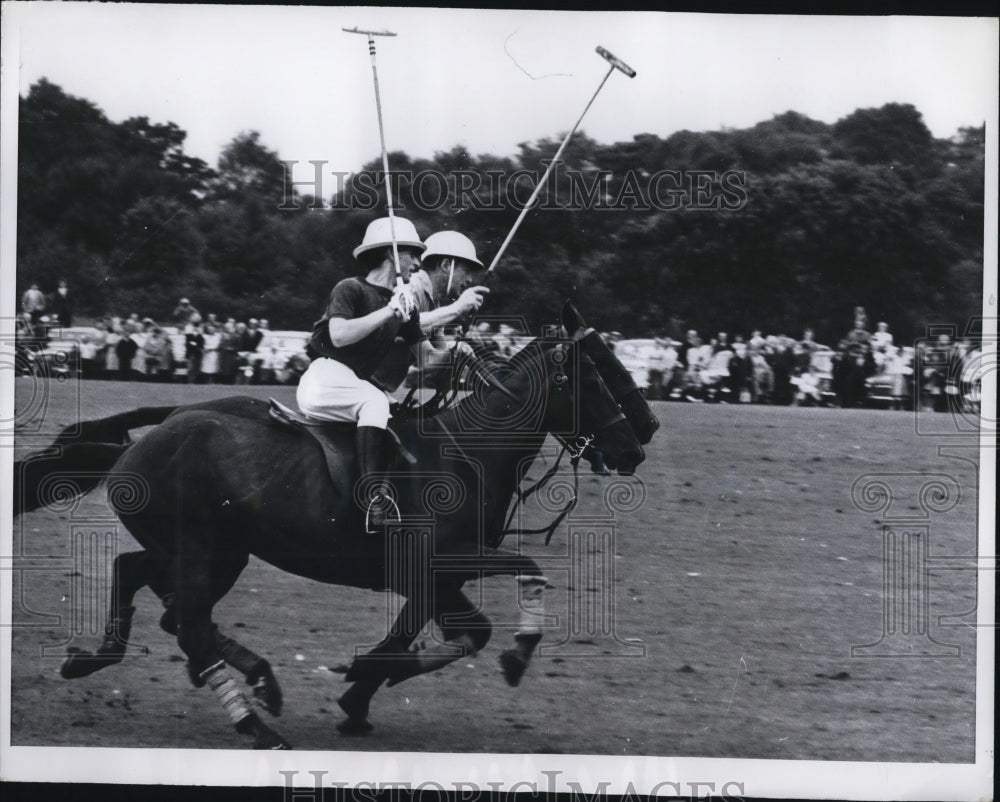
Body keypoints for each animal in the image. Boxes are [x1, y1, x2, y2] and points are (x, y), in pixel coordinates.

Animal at [17, 304, 656, 748]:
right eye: (599, 372)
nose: (640, 440)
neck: (467, 453)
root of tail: (153, 429)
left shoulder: (432, 577)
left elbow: (448, 633)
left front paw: (359, 695)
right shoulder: (436, 561)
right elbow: (520, 573)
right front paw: (516, 654)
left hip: (210, 549)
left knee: (141, 580)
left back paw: (101, 659)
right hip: (202, 549)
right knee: (188, 622)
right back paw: (257, 723)